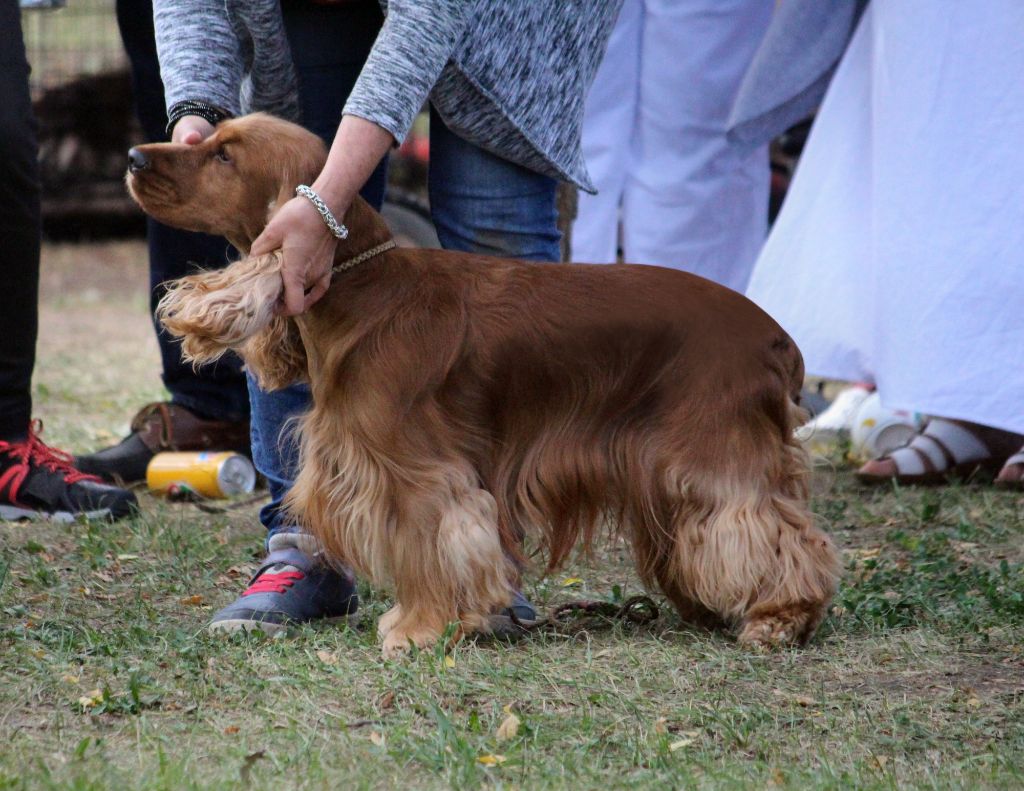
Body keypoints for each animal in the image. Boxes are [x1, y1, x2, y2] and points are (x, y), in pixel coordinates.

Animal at [132, 111, 839, 655]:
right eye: (207, 138)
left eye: (224, 155)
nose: (136, 156)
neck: (361, 289)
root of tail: (775, 336)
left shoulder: (417, 473)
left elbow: (428, 545)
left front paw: (418, 629)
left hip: (711, 454)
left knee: (776, 532)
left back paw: (781, 618)